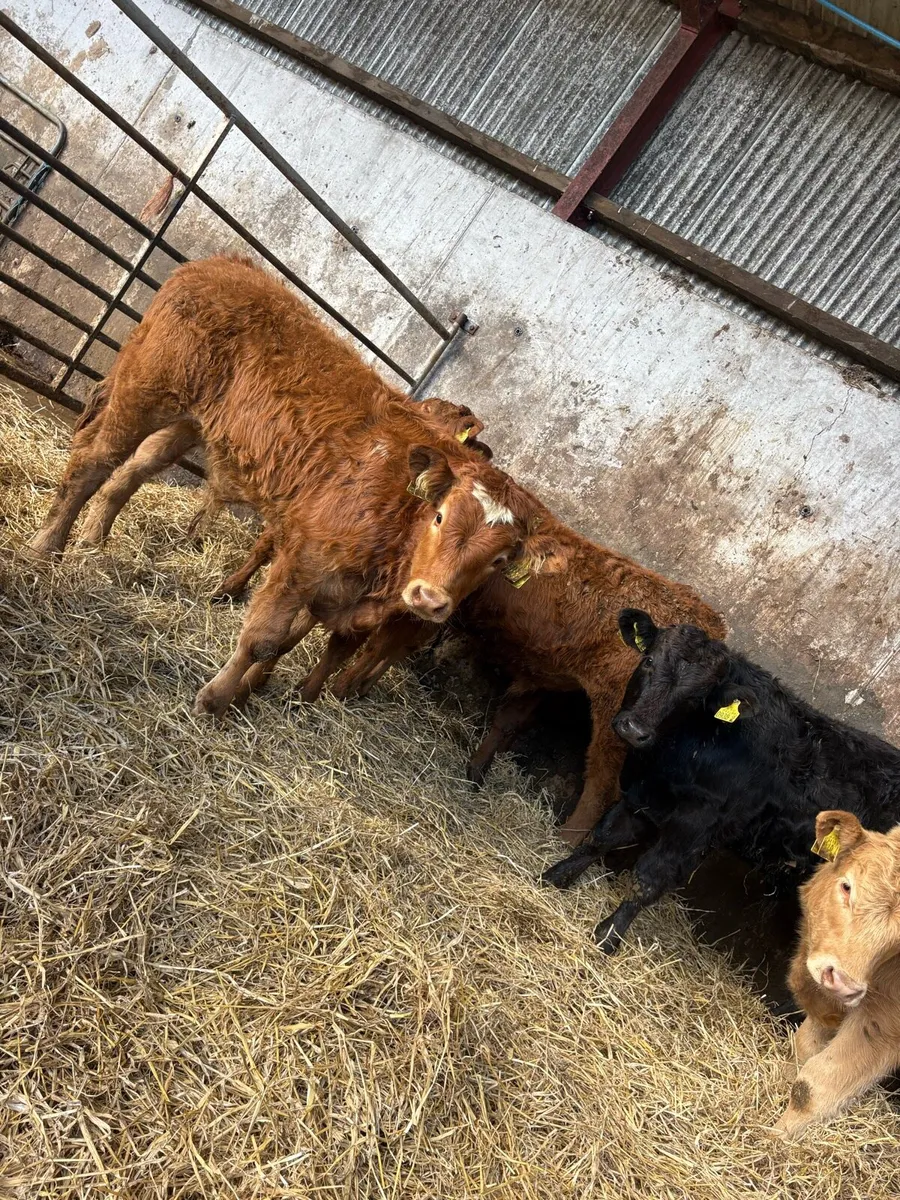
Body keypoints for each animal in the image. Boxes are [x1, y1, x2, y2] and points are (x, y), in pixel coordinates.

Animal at [29, 255, 553, 716]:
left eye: (499, 561)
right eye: (441, 516)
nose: (429, 598)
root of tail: (227, 263)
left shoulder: (340, 599)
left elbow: (291, 643)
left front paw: (244, 695)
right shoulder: (305, 561)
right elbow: (263, 638)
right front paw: (215, 700)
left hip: (188, 422)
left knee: (131, 472)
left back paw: (92, 542)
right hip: (146, 391)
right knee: (92, 465)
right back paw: (45, 549)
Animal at [308, 509, 725, 840]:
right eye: (651, 662)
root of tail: (708, 622)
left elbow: (379, 646)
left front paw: (342, 693)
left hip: (614, 720)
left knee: (601, 787)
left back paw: (560, 844)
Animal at [543, 610, 900, 953]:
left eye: (695, 697)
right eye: (649, 661)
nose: (634, 729)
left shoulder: (697, 826)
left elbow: (650, 878)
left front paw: (608, 936)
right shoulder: (644, 794)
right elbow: (602, 837)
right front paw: (555, 876)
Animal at [775, 810, 900, 1136]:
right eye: (846, 887)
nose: (842, 983)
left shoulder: (883, 1024)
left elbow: (813, 1087)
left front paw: (773, 1137)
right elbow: (802, 1048)